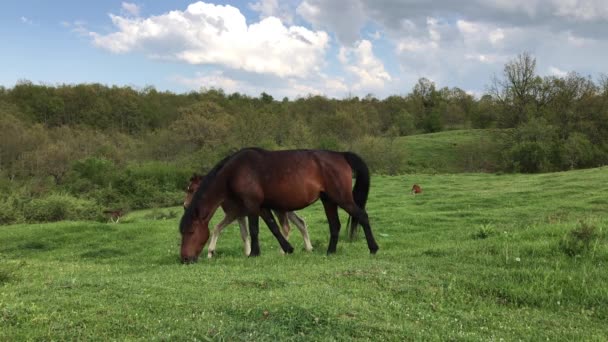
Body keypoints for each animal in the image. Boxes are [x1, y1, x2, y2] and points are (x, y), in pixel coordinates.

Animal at [184, 175, 314, 258]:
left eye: (192, 190)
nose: (185, 205)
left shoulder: (232, 214)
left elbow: (217, 228)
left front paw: (210, 252)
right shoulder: (240, 216)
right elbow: (244, 234)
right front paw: (248, 252)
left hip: (279, 210)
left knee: (287, 227)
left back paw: (283, 252)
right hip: (287, 210)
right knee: (301, 223)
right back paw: (309, 248)